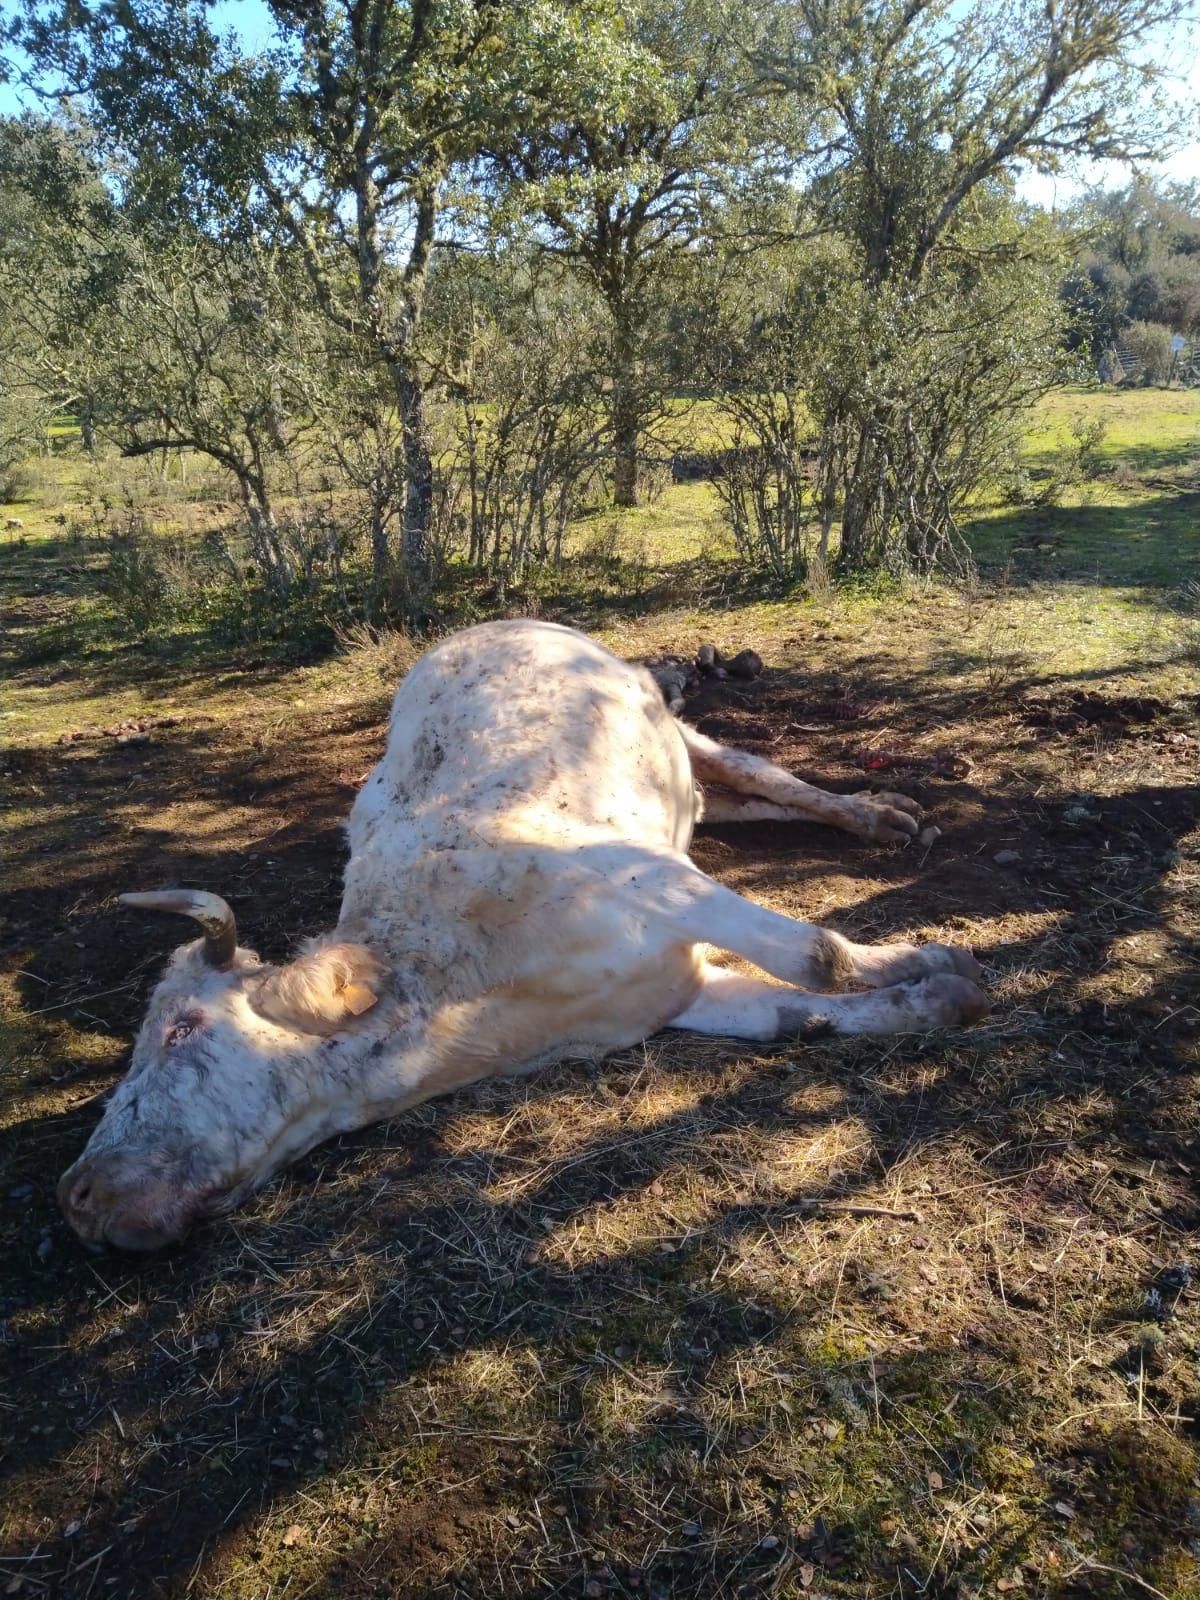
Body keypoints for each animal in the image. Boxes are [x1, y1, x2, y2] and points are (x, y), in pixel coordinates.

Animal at [56, 617, 985, 1254]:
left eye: (182, 1031)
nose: (78, 1195)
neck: (466, 1000)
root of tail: (489, 625)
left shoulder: (655, 878)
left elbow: (817, 959)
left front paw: (928, 956)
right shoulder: (668, 996)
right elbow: (800, 1014)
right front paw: (930, 996)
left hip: (673, 729)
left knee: (764, 775)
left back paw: (881, 815)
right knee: (737, 802)